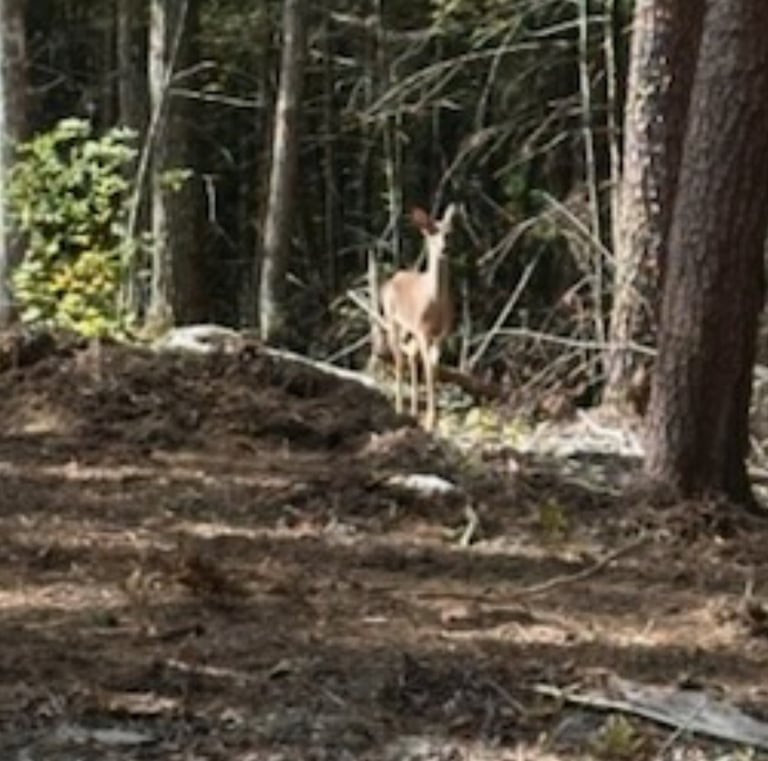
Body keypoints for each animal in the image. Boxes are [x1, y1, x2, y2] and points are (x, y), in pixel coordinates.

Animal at [379, 203, 457, 431]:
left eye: (450, 232)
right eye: (430, 232)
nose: (445, 249)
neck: (435, 301)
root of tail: (391, 280)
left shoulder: (442, 334)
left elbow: (435, 368)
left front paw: (434, 419)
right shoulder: (423, 331)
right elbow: (429, 369)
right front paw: (431, 420)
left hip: (409, 328)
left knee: (410, 354)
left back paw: (413, 411)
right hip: (392, 319)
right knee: (398, 358)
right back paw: (399, 409)